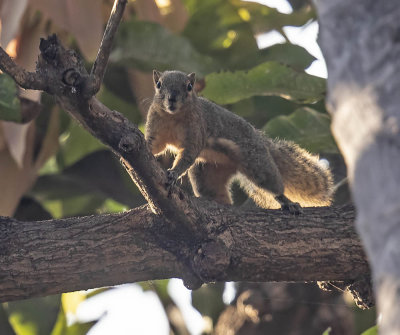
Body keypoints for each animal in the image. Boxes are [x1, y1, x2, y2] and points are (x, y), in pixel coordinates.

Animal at [145, 70, 332, 215]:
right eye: (159, 84)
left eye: (189, 86)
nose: (172, 98)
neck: (173, 116)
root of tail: (260, 138)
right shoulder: (156, 128)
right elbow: (155, 146)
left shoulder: (196, 130)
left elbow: (188, 155)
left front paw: (174, 173)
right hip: (208, 173)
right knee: (216, 194)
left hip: (257, 162)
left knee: (272, 183)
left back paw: (287, 201)